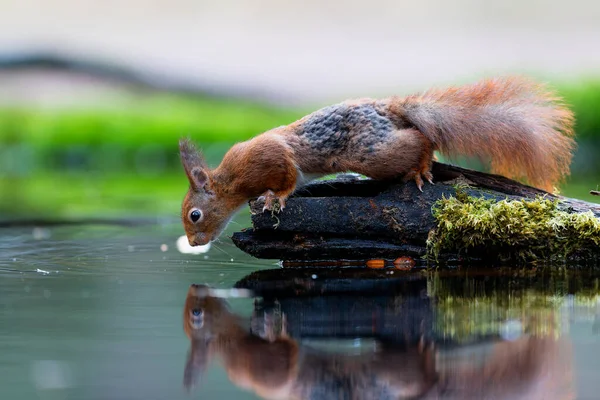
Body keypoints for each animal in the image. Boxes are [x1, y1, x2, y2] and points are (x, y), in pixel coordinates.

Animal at [180, 77, 576, 247]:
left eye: (194, 215)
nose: (196, 244)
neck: (230, 180)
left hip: (372, 152)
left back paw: (420, 166)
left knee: (420, 138)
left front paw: (275, 198)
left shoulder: (270, 156)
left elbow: (289, 175)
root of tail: (390, 109)